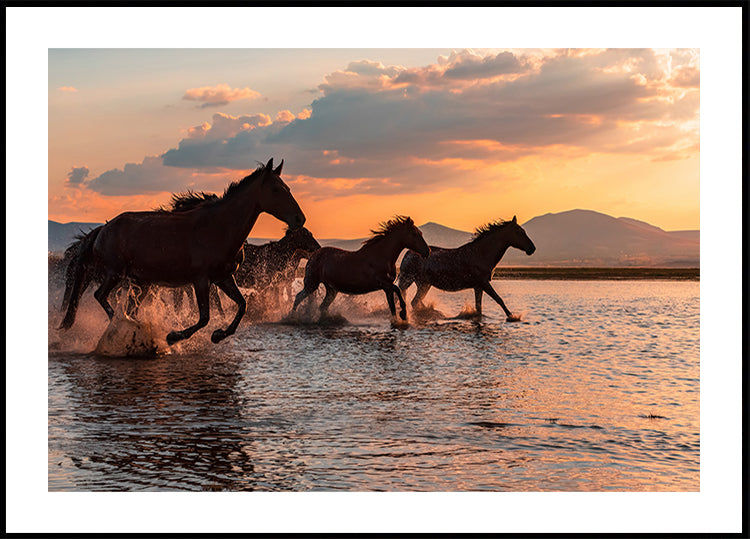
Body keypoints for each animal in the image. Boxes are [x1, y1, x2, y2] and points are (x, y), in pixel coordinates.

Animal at [59, 158, 305, 345]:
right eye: (276, 189)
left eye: (288, 188)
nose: (299, 219)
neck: (218, 227)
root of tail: (102, 229)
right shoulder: (201, 280)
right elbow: (204, 317)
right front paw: (174, 336)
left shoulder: (223, 277)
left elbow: (241, 306)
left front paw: (218, 335)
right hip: (115, 274)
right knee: (100, 296)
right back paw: (125, 326)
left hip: (141, 282)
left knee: (127, 306)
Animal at [291, 216, 430, 321]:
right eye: (414, 234)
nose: (427, 251)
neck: (381, 256)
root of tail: (313, 255)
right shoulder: (383, 283)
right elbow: (398, 290)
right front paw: (404, 314)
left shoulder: (387, 288)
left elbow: (392, 306)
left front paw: (398, 319)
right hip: (311, 284)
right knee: (298, 297)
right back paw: (291, 317)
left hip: (331, 290)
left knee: (322, 307)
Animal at [397, 216, 535, 321]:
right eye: (519, 232)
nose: (532, 248)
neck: (482, 254)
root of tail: (408, 254)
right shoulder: (484, 283)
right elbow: (499, 299)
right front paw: (513, 317)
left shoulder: (478, 286)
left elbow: (479, 308)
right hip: (409, 280)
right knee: (410, 300)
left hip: (424, 284)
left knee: (415, 302)